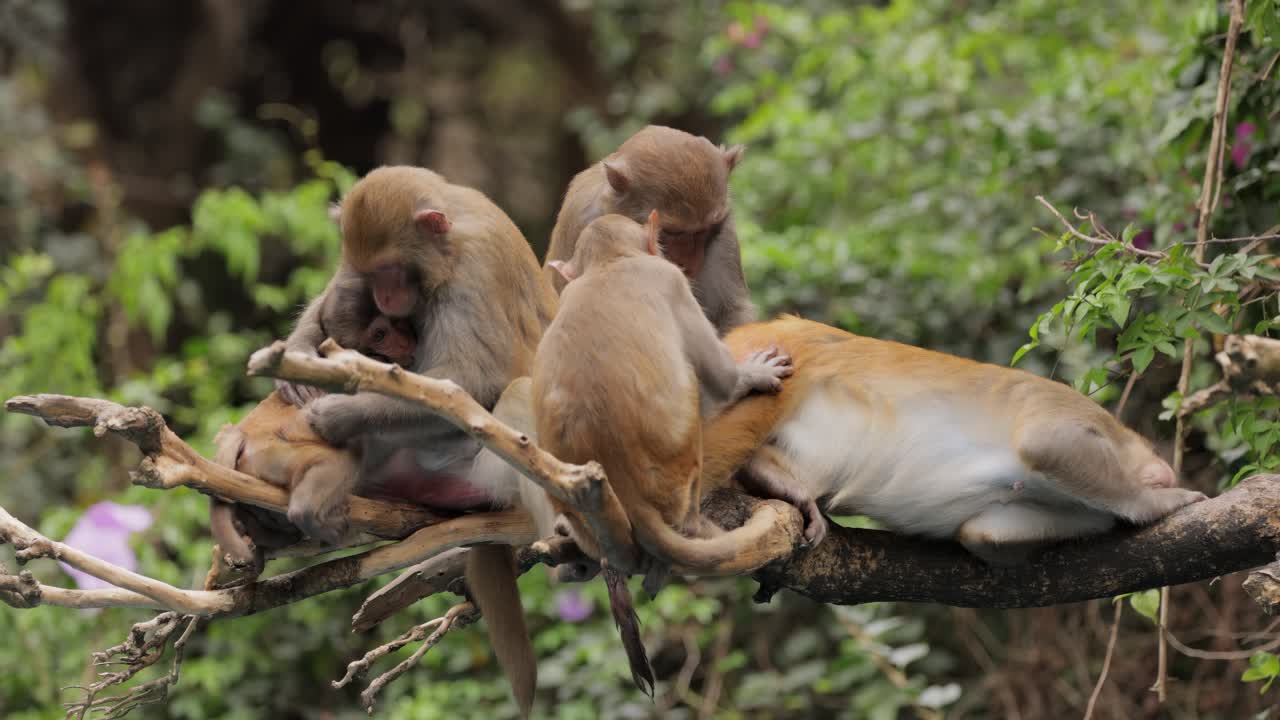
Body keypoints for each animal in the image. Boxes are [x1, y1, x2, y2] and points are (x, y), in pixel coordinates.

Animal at [543, 125, 755, 336]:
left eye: (706, 230)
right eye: (671, 232)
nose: (688, 264)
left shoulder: (724, 227)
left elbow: (732, 309)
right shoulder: (582, 220)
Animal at [698, 315, 1210, 565]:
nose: (1164, 475)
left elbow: (983, 535)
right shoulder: (1070, 408)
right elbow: (1046, 442)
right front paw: (1157, 502)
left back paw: (774, 480)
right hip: (778, 349)